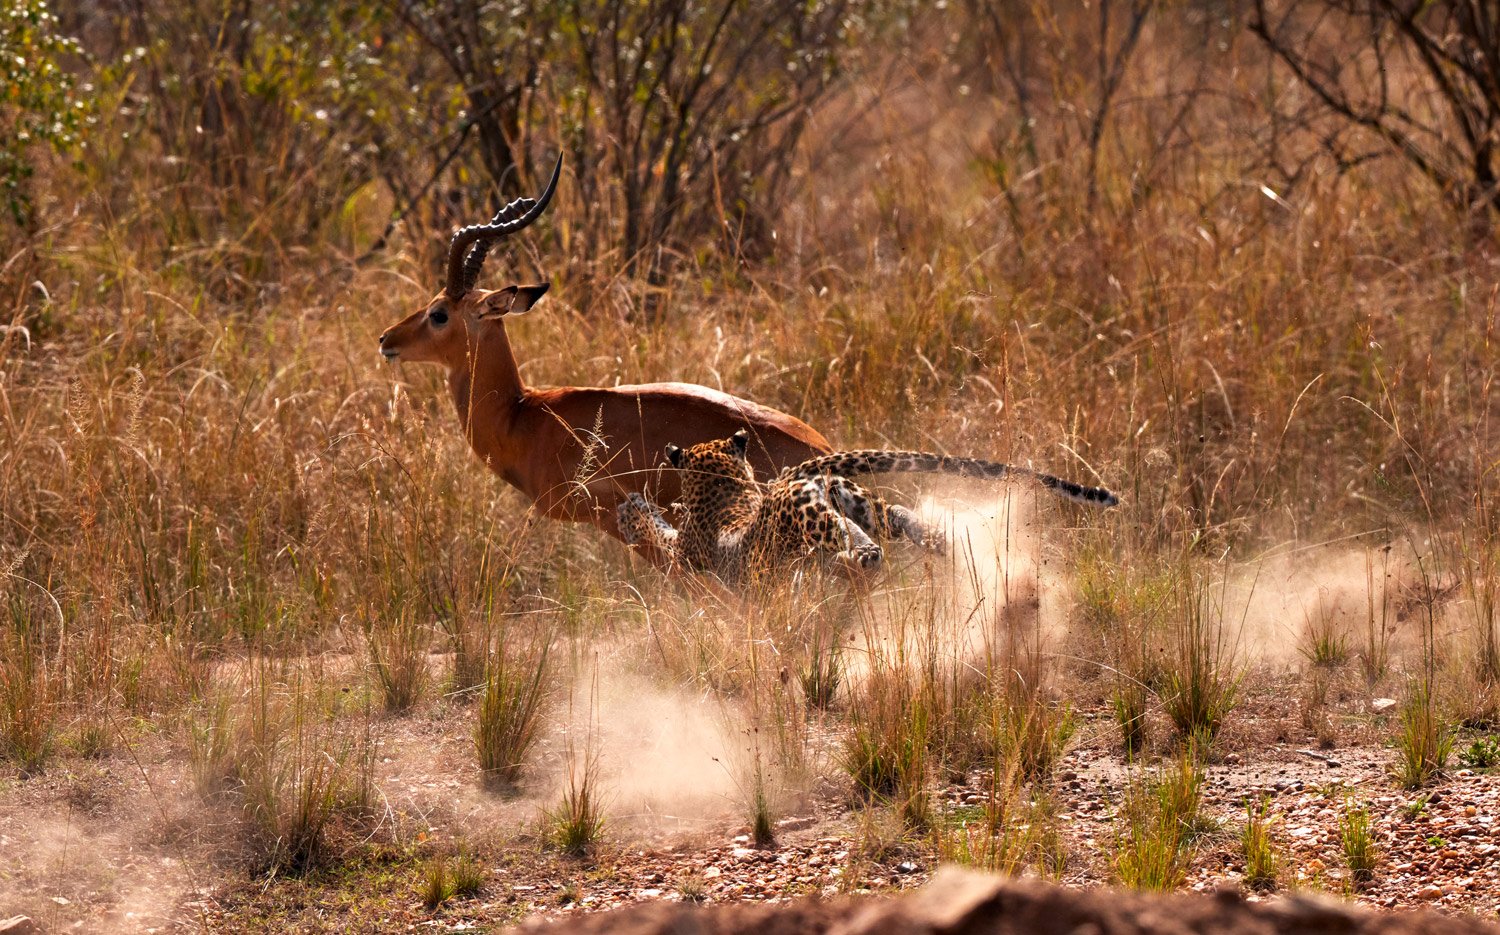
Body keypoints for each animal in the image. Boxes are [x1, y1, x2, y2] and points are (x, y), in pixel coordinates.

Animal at [617, 429, 1117, 580]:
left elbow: (658, 531)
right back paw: (948, 543)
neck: (728, 485)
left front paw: (632, 508)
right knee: (898, 518)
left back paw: (845, 562)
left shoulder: (683, 555)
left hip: (810, 513)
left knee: (865, 547)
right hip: (849, 497)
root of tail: (795, 476)